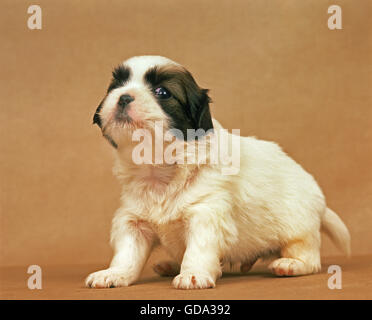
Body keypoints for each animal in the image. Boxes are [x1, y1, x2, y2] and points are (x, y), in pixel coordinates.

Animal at [85, 55, 350, 290]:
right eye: (115, 86)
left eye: (162, 92)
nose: (123, 97)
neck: (157, 166)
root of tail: (320, 201)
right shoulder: (132, 220)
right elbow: (127, 253)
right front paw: (113, 274)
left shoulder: (206, 212)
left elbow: (198, 248)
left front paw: (193, 274)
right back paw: (170, 265)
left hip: (298, 227)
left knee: (308, 256)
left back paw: (290, 264)